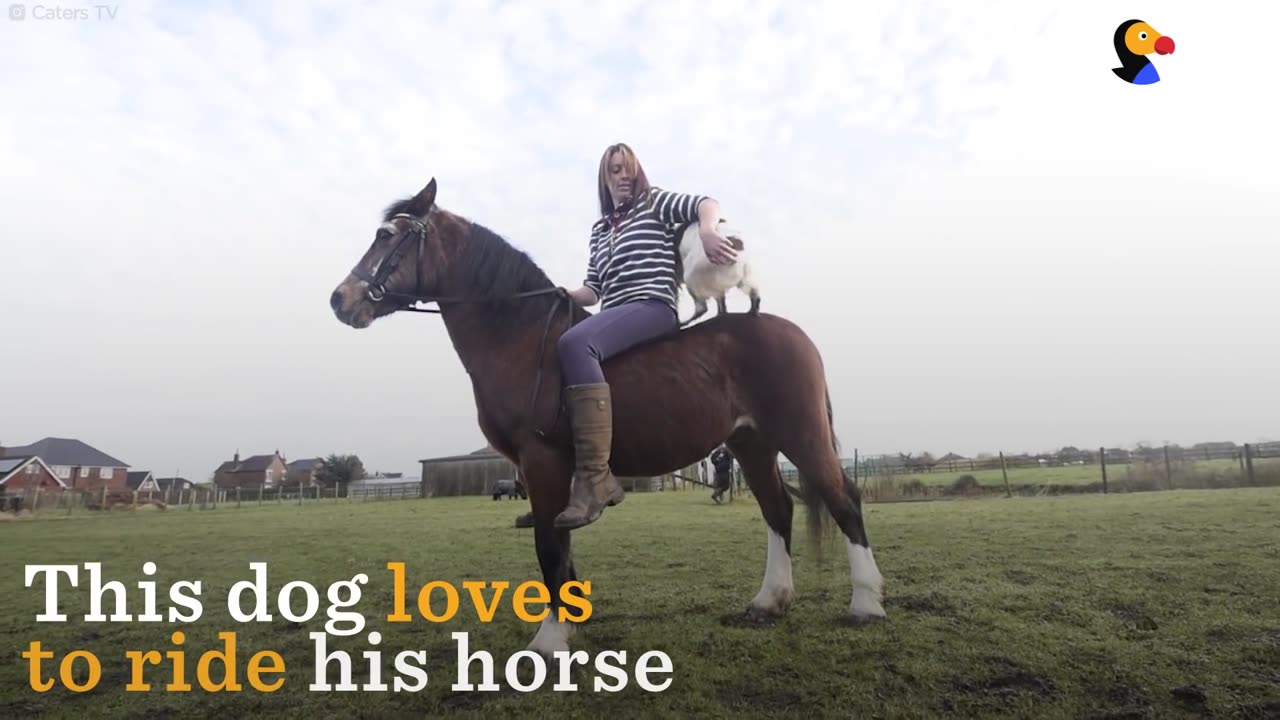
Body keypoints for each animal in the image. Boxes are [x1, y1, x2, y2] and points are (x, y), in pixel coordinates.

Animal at [330, 176, 885, 653]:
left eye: (388, 236)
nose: (341, 299)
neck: (521, 337)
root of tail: (785, 331)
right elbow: (562, 548)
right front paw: (570, 622)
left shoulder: (542, 461)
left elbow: (550, 547)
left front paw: (550, 640)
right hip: (752, 444)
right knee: (778, 509)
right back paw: (769, 603)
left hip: (800, 434)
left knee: (844, 501)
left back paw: (866, 604)